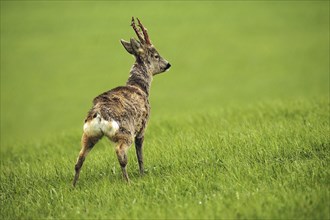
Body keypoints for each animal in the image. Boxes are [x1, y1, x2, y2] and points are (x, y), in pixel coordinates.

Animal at [72, 17, 170, 186]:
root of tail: (99, 114)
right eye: (156, 55)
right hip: (125, 131)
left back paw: (73, 186)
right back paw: (128, 181)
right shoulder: (142, 126)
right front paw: (143, 174)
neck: (139, 86)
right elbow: (140, 154)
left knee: (79, 159)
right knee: (120, 152)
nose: (168, 64)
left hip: (88, 134)